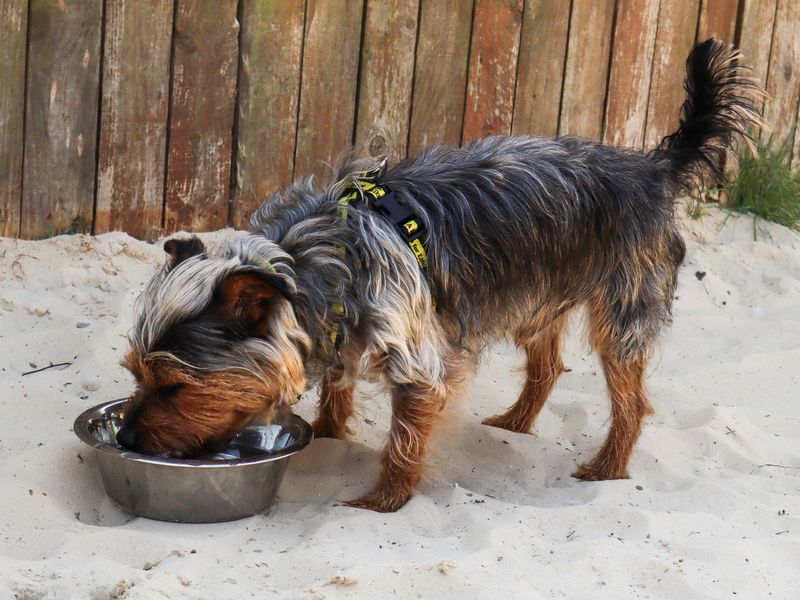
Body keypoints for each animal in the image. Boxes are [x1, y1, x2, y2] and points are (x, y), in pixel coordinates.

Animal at [115, 39, 760, 512]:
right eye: (137, 375)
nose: (124, 441)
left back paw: (608, 467)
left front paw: (382, 502)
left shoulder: (417, 361)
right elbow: (339, 388)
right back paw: (516, 423)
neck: (310, 262)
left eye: (174, 387)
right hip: (537, 295)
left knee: (631, 399)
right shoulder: (344, 330)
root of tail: (652, 168)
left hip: (622, 308)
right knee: (547, 364)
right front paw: (326, 434)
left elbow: (404, 439)